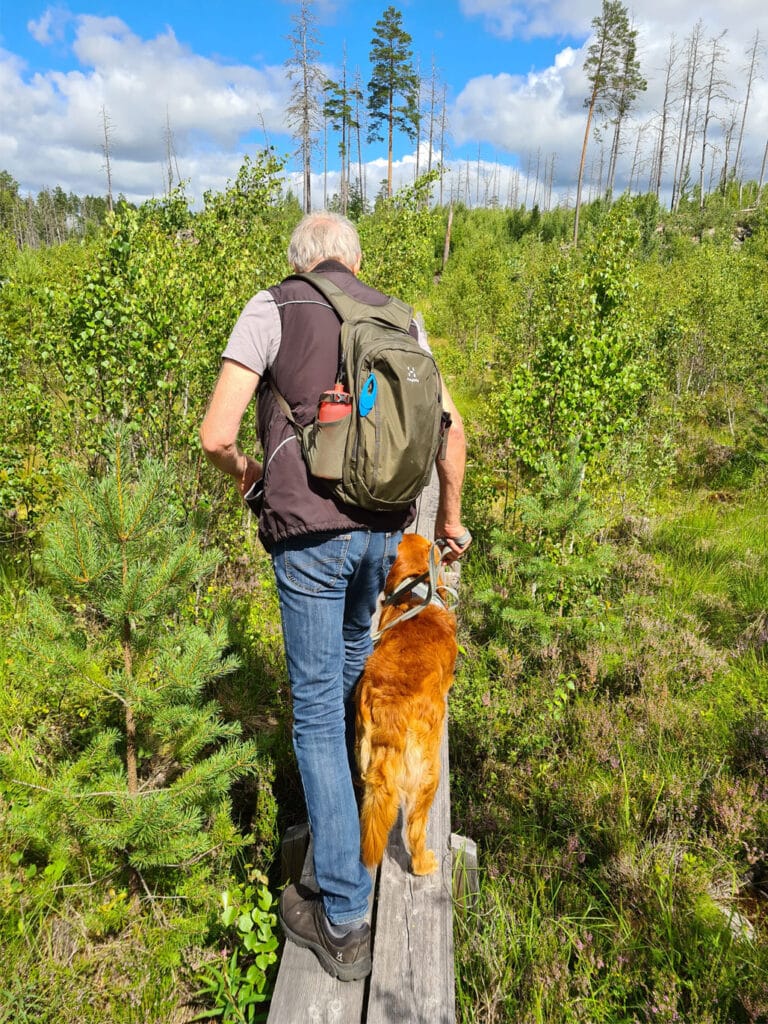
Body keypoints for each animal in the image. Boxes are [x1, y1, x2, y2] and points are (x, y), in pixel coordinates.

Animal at [354, 532, 456, 876]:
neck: (415, 593)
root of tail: (390, 708)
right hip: (427, 777)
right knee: (414, 829)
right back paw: (424, 864)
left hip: (364, 750)